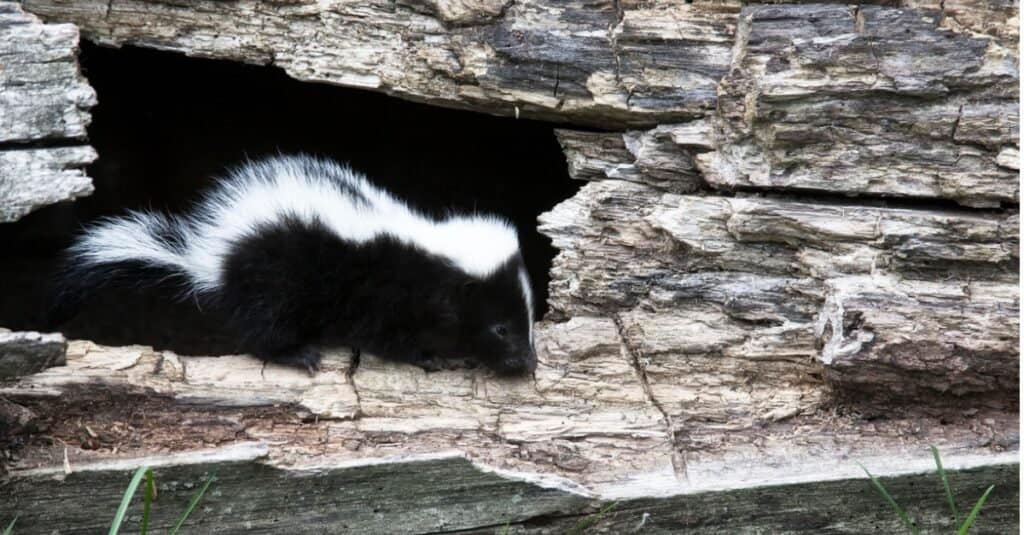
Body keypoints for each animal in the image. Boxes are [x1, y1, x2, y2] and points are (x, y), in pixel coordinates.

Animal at [51, 151, 540, 373]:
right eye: (500, 328)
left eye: (528, 319)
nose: (528, 364)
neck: (424, 248)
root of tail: (208, 256)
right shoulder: (381, 292)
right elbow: (389, 336)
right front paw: (430, 357)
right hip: (272, 281)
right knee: (261, 330)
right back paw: (299, 354)